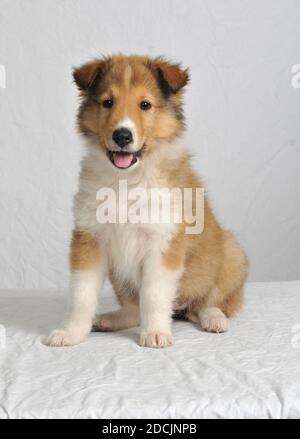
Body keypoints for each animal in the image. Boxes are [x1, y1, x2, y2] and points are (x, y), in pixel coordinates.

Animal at [47, 55, 248, 348]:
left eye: (145, 105)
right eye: (108, 102)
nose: (122, 136)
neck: (127, 179)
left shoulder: (163, 241)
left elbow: (153, 294)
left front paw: (155, 333)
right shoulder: (90, 237)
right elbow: (81, 294)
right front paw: (70, 332)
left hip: (230, 255)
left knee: (208, 302)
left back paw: (214, 319)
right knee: (133, 308)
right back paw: (109, 319)